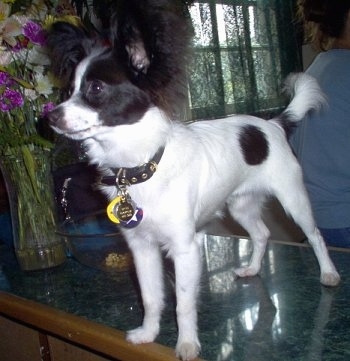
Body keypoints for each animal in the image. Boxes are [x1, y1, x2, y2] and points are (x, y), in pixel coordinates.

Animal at [45, 1, 340, 358]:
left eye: (95, 89)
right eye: (68, 91)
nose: (50, 116)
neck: (141, 166)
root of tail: (274, 123)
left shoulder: (184, 248)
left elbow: (183, 303)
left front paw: (186, 344)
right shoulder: (142, 247)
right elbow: (151, 297)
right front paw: (149, 333)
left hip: (293, 199)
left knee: (315, 236)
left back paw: (329, 273)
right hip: (240, 206)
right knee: (262, 233)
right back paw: (253, 268)